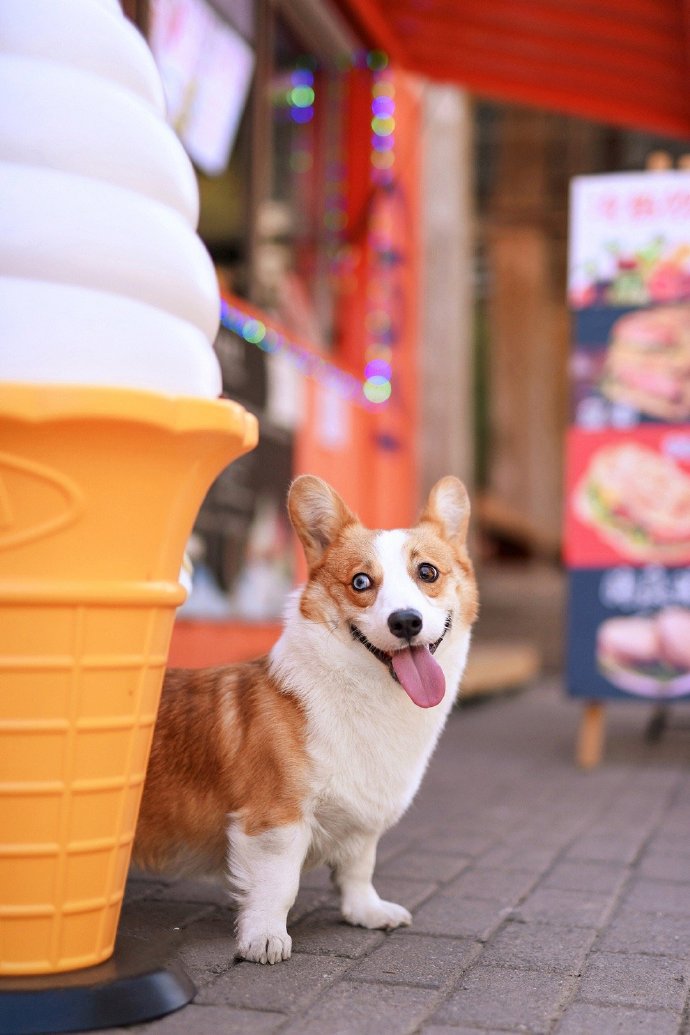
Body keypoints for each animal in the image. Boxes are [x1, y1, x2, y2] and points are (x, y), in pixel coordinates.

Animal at [134, 474, 479, 960]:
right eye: (360, 581)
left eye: (427, 572)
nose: (406, 622)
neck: (367, 695)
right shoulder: (276, 821)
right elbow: (277, 886)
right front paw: (263, 938)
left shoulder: (362, 826)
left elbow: (358, 869)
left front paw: (366, 911)